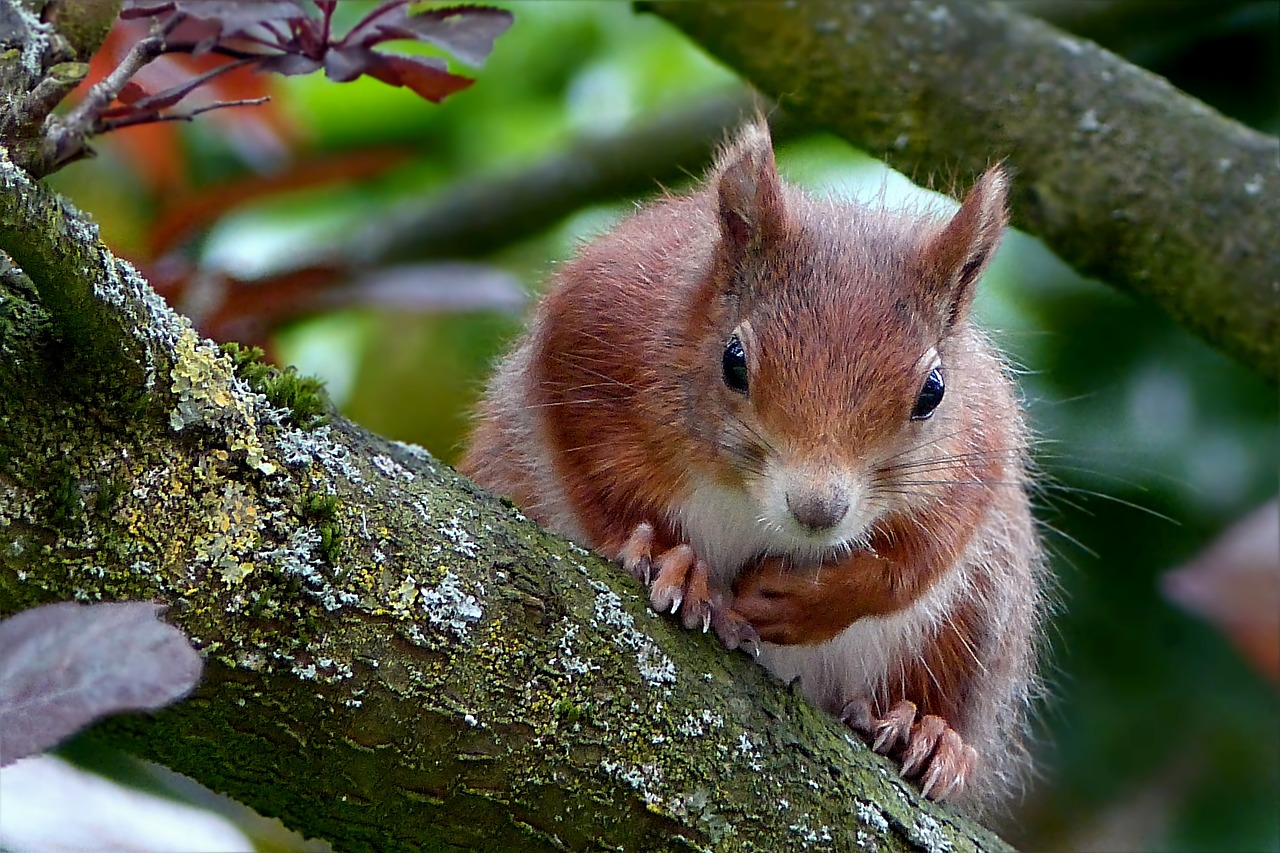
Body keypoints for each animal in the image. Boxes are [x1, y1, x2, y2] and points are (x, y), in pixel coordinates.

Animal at [465, 119, 1044, 809]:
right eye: (734, 360)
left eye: (933, 392)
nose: (818, 510)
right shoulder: (596, 335)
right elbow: (595, 474)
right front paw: (669, 557)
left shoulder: (980, 447)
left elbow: (919, 557)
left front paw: (812, 601)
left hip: (983, 612)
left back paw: (927, 732)